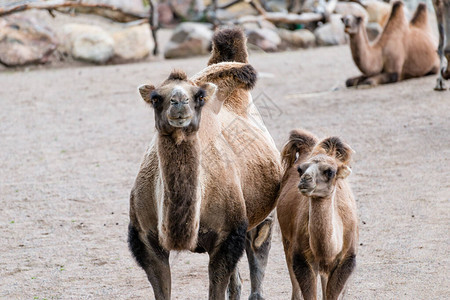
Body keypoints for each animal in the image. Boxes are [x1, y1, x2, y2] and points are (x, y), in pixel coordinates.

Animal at [127, 28, 282, 300]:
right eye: (156, 98)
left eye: (199, 96)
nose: (179, 103)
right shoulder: (145, 241)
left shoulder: (227, 237)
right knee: (236, 282)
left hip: (264, 213)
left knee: (258, 254)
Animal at [274, 129, 358, 300]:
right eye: (300, 169)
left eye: (330, 171)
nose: (305, 180)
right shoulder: (302, 259)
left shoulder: (347, 260)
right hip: (287, 241)